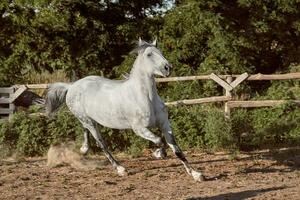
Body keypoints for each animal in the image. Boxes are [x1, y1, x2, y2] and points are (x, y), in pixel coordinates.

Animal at [45, 38, 204, 181]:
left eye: (161, 52)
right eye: (149, 54)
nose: (168, 68)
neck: (146, 97)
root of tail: (72, 86)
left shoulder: (165, 125)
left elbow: (177, 150)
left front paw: (196, 174)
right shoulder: (139, 129)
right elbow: (159, 141)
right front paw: (159, 154)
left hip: (90, 120)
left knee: (85, 130)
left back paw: (84, 149)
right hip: (88, 121)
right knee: (102, 144)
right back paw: (120, 169)